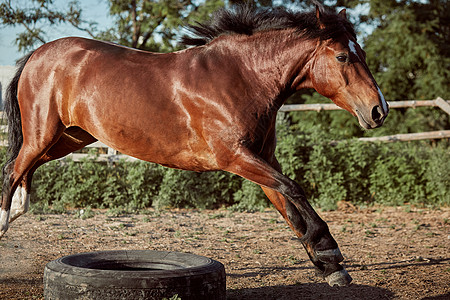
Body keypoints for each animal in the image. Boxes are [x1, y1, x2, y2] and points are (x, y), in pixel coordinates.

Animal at [0, 4, 386, 286]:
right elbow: (294, 189)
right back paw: (3, 227)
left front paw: (330, 266)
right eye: (342, 57)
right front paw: (329, 253)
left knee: (22, 170)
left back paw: (17, 210)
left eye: (363, 52)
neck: (241, 77)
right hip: (43, 135)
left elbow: (289, 208)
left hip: (69, 137)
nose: (378, 110)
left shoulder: (263, 159)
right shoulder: (234, 157)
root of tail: (37, 54)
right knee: (12, 170)